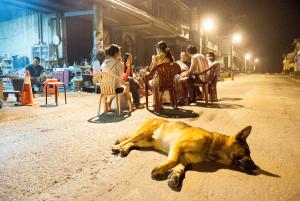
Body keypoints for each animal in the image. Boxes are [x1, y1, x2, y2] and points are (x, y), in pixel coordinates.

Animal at [111, 118, 258, 188]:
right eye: (247, 151)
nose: (256, 167)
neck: (212, 145)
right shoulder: (178, 145)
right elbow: (174, 160)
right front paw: (161, 169)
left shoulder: (184, 157)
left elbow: (180, 166)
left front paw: (175, 176)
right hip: (143, 132)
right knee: (129, 139)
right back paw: (117, 147)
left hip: (146, 142)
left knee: (132, 143)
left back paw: (124, 149)